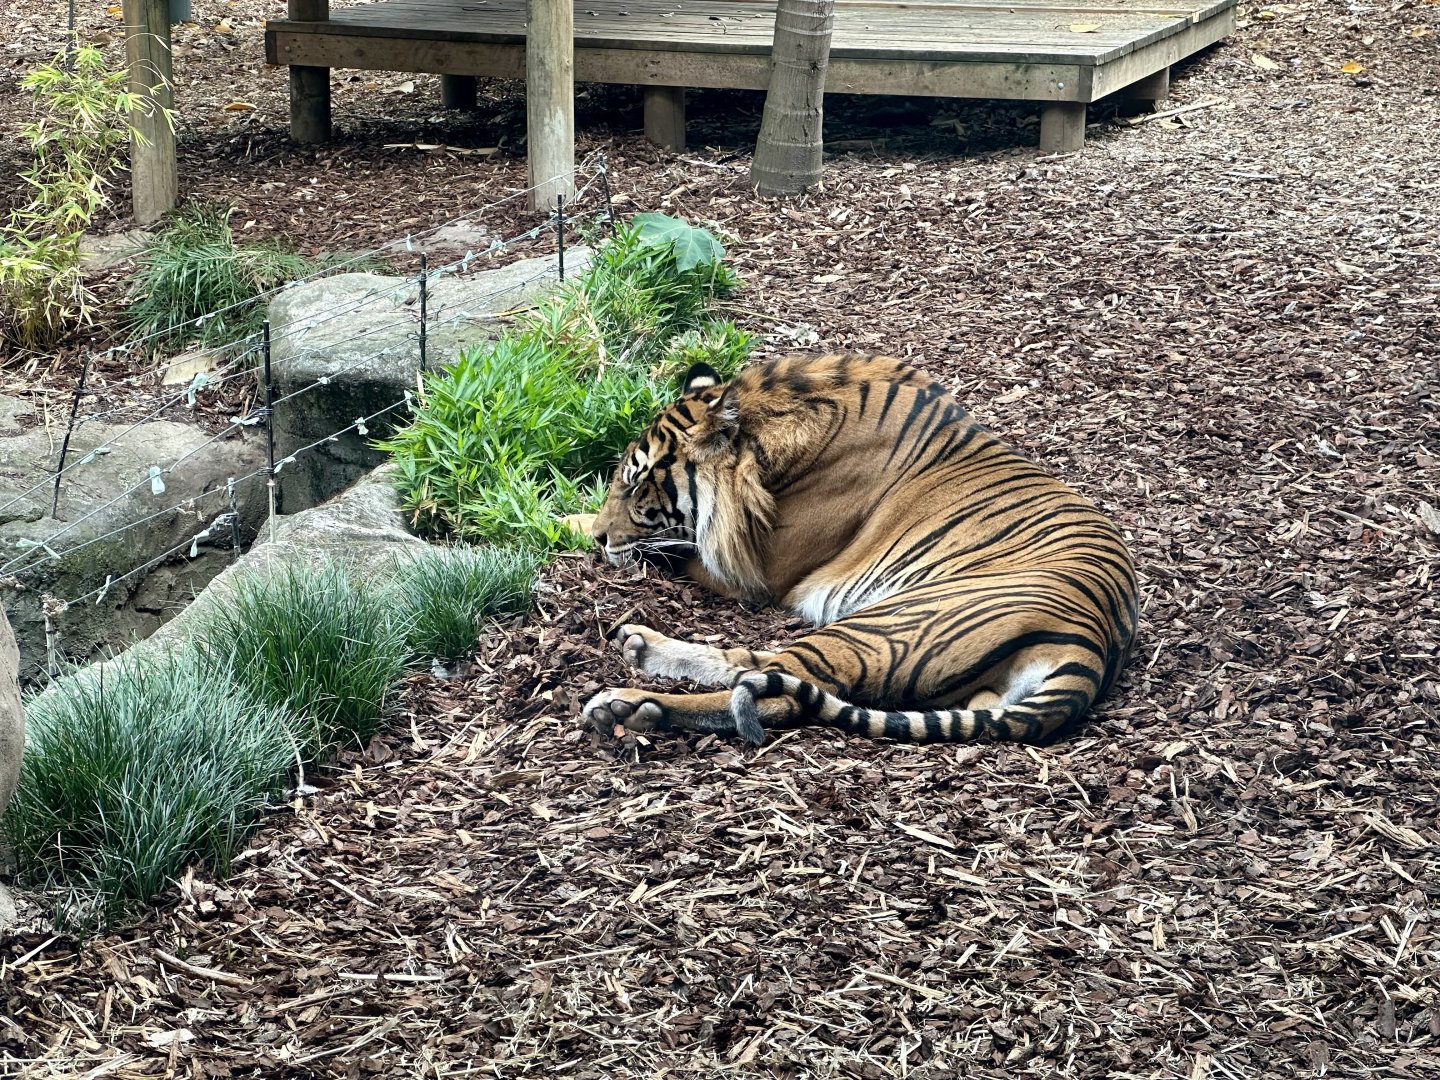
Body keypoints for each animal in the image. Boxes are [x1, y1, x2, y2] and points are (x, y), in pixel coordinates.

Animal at [581, 353, 1138, 746]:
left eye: (637, 484)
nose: (600, 539)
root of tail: (1093, 647)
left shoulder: (755, 569)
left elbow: (676, 548)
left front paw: (579, 527)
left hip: (886, 622)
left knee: (776, 690)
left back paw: (629, 704)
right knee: (760, 667)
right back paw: (641, 644)